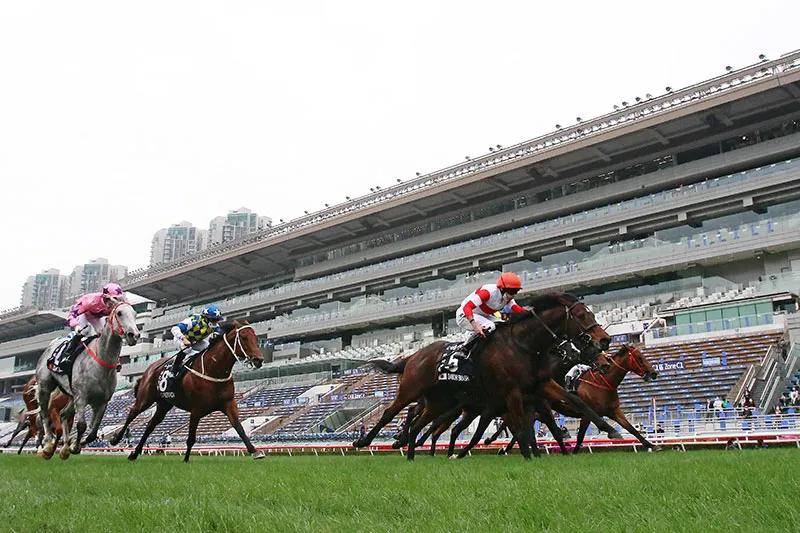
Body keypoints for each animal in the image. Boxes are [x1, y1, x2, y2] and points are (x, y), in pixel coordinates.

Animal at [34, 298, 139, 460]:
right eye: (120, 313)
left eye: (134, 314)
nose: (134, 335)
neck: (101, 362)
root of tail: (51, 345)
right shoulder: (82, 397)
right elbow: (82, 425)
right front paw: (74, 446)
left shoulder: (102, 401)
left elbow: (93, 432)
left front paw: (75, 445)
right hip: (45, 387)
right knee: (44, 413)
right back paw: (48, 445)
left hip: (71, 395)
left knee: (63, 414)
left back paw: (64, 448)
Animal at [111, 320, 266, 462]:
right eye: (244, 337)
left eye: (255, 337)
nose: (259, 359)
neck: (214, 370)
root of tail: (150, 368)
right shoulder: (196, 409)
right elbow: (191, 437)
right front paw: (186, 459)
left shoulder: (228, 403)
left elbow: (238, 427)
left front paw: (255, 452)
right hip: (145, 398)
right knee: (132, 414)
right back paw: (115, 439)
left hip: (164, 404)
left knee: (150, 425)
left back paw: (134, 453)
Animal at [354, 294, 620, 460]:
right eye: (582, 316)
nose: (605, 341)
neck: (524, 345)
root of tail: (413, 356)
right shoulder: (514, 393)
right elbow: (521, 426)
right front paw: (529, 455)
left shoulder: (539, 387)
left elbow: (576, 404)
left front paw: (610, 429)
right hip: (412, 390)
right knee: (392, 413)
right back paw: (366, 442)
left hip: (442, 401)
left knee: (421, 423)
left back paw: (411, 451)